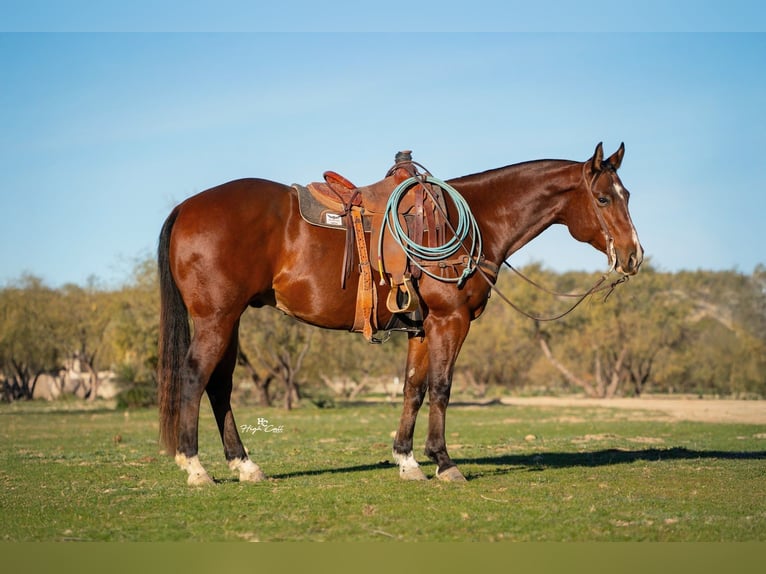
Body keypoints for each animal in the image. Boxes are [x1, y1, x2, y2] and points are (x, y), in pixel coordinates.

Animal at [157, 142, 643, 485]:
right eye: (603, 199)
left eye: (627, 195)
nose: (633, 256)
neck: (471, 221)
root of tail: (186, 207)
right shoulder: (450, 321)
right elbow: (442, 388)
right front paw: (444, 462)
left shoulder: (422, 329)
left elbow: (413, 388)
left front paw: (407, 459)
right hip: (217, 319)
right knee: (195, 377)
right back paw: (196, 467)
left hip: (231, 319)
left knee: (219, 386)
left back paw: (244, 465)